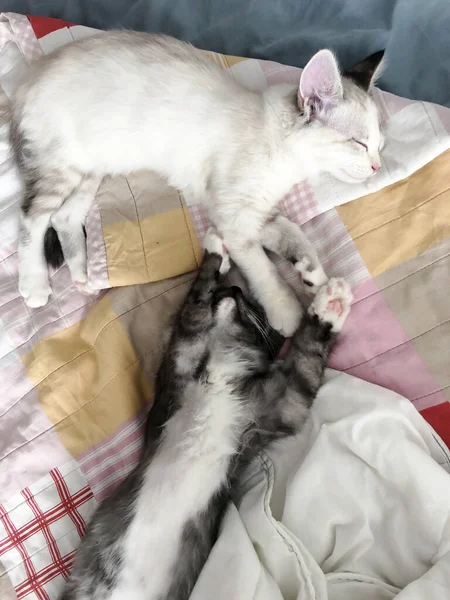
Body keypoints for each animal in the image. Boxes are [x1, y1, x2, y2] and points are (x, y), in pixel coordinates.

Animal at [10, 32, 384, 336]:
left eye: (379, 145)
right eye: (359, 143)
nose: (377, 166)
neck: (279, 149)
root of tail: (30, 77)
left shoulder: (256, 212)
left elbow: (295, 235)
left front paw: (313, 275)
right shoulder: (234, 219)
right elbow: (263, 269)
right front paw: (286, 309)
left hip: (92, 168)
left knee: (63, 216)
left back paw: (81, 274)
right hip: (64, 166)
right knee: (32, 217)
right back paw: (34, 283)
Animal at [61, 231, 354, 600]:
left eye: (256, 307)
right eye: (234, 293)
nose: (235, 289)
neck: (217, 372)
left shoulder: (281, 404)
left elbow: (305, 359)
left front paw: (331, 306)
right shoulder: (180, 362)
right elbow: (198, 299)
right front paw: (218, 252)